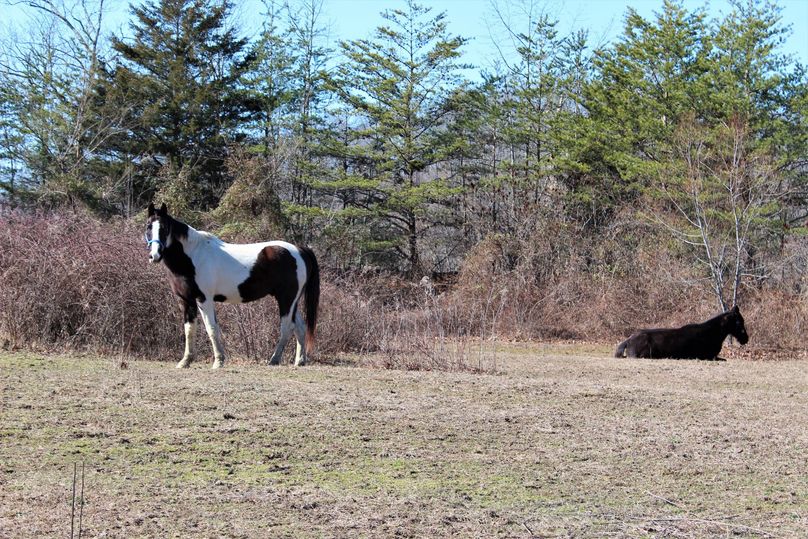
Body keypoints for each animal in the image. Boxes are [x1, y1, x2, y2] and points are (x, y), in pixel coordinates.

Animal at [144, 203, 320, 369]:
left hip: (286, 299)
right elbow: (189, 330)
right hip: (291, 301)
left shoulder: (204, 299)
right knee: (300, 327)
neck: (193, 255)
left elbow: (211, 328)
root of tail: (300, 250)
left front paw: (218, 361)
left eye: (164, 228)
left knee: (287, 328)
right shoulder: (186, 300)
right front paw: (185, 361)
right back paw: (300, 361)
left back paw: (274, 360)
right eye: (148, 227)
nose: (155, 255)